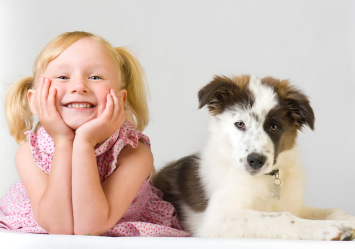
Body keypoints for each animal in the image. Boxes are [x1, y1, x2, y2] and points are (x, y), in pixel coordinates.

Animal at [154, 75, 355, 240]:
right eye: (240, 124)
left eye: (274, 127)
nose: (256, 160)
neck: (264, 179)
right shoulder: (217, 221)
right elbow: (283, 218)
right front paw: (332, 228)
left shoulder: (293, 205)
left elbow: (329, 210)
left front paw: (347, 220)